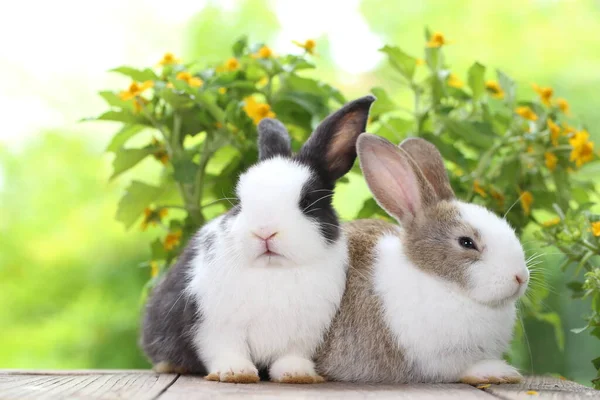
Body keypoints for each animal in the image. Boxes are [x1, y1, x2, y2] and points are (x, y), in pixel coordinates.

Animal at [141, 95, 376, 382]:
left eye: (307, 202)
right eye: (240, 201)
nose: (264, 231)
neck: (272, 270)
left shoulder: (306, 332)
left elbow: (291, 355)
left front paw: (297, 375)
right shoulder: (214, 326)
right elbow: (226, 349)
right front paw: (235, 373)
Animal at [314, 134, 528, 384]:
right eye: (467, 242)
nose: (521, 277)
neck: (436, 279)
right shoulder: (436, 361)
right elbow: (460, 369)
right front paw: (498, 371)